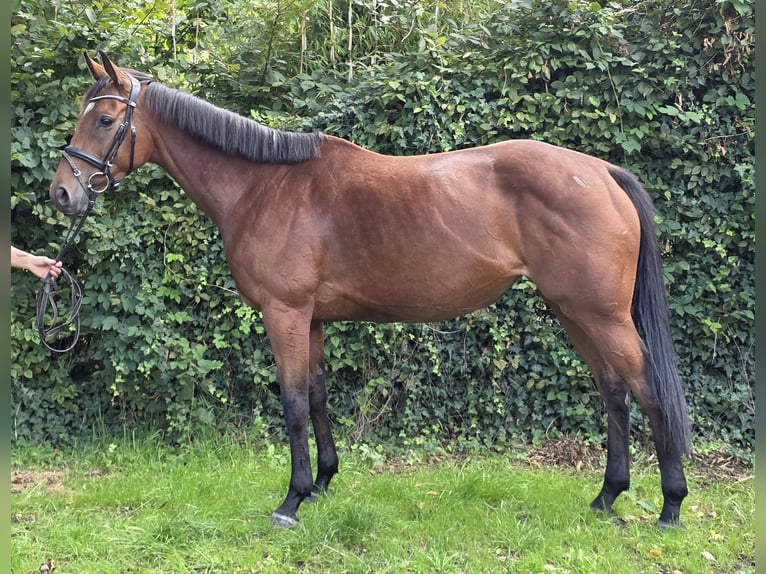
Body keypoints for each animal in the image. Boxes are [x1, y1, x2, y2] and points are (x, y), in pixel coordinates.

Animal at [49, 51, 690, 529]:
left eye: (104, 121)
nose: (62, 194)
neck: (264, 187)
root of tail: (602, 171)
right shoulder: (310, 319)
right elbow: (317, 396)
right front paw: (323, 483)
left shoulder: (284, 313)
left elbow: (292, 404)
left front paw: (290, 501)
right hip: (572, 312)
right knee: (613, 392)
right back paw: (607, 497)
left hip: (602, 315)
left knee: (648, 390)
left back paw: (669, 506)